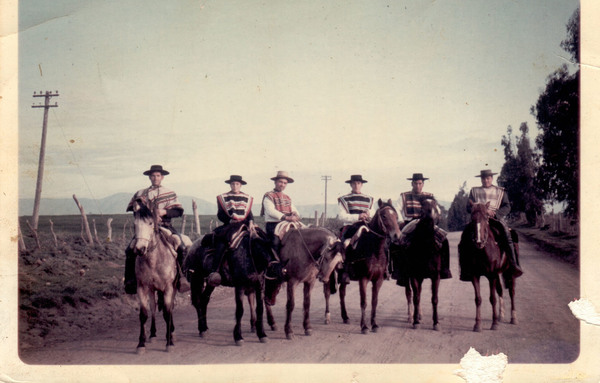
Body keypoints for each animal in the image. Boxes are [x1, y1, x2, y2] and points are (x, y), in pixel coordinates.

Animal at [130, 198, 177, 354]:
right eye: (135, 225)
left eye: (150, 223)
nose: (139, 249)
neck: (153, 261)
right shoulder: (142, 287)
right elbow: (144, 314)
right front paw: (141, 344)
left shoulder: (168, 288)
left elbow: (167, 313)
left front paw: (169, 343)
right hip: (152, 290)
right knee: (154, 308)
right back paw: (153, 334)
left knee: (169, 308)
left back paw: (171, 333)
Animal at [338, 200, 404, 334]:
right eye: (384, 216)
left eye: (396, 215)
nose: (397, 236)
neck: (374, 251)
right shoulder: (363, 279)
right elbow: (364, 302)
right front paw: (364, 327)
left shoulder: (378, 280)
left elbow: (374, 302)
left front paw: (374, 325)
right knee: (341, 293)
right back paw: (344, 317)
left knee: (342, 292)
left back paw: (345, 317)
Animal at [400, 200, 448, 332]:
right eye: (422, 209)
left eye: (436, 208)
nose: (429, 218)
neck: (425, 249)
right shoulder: (414, 275)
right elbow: (416, 297)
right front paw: (415, 322)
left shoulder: (435, 276)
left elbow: (434, 299)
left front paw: (436, 323)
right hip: (407, 276)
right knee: (410, 293)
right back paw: (411, 316)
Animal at [460, 202, 516, 332]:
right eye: (472, 218)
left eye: (486, 217)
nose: (478, 241)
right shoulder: (475, 275)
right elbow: (478, 299)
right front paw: (477, 324)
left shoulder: (491, 275)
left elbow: (492, 298)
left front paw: (494, 323)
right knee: (500, 290)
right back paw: (501, 315)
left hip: (509, 272)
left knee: (511, 291)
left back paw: (513, 318)